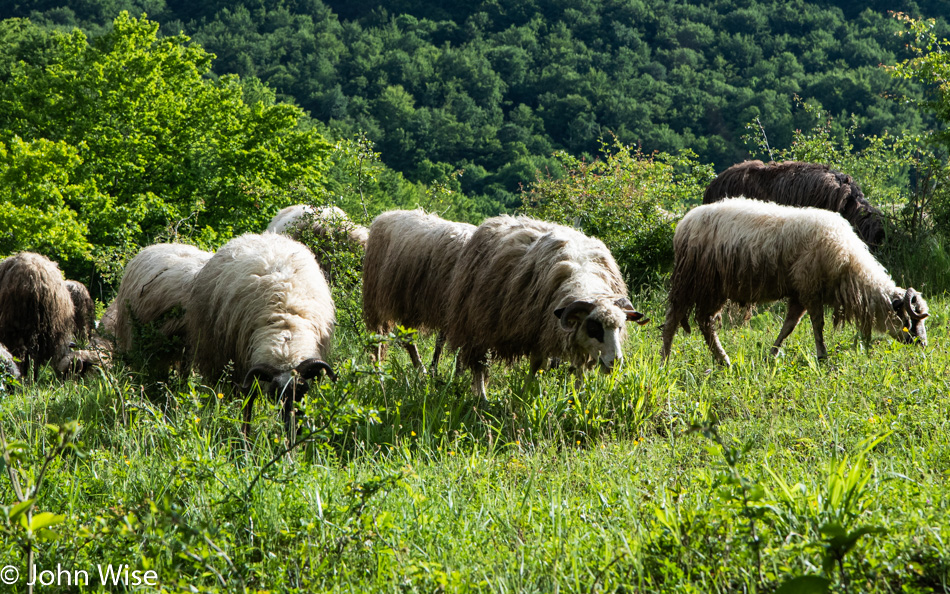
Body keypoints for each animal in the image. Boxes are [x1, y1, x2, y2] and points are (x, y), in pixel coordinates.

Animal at [184, 231, 336, 430]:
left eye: (302, 391)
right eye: (274, 394)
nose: (291, 427)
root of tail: (261, 235)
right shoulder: (244, 370)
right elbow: (248, 405)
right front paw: (244, 436)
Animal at [364, 207, 480, 366]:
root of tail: (386, 214)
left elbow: (442, 342)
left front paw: (436, 368)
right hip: (376, 293)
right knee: (380, 333)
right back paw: (380, 364)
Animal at [446, 215, 648, 400]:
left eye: (620, 327)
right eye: (593, 328)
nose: (614, 363)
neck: (583, 278)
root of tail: (499, 218)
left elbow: (580, 370)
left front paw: (578, 397)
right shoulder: (536, 330)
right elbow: (536, 364)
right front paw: (524, 393)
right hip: (474, 325)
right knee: (479, 365)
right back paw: (482, 398)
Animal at [660, 197, 928, 364]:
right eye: (909, 320)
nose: (923, 345)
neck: (850, 266)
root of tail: (683, 223)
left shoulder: (799, 293)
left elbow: (788, 326)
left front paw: (772, 354)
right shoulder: (810, 288)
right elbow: (817, 325)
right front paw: (822, 357)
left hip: (714, 287)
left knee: (705, 322)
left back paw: (723, 360)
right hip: (691, 280)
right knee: (674, 318)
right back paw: (665, 360)